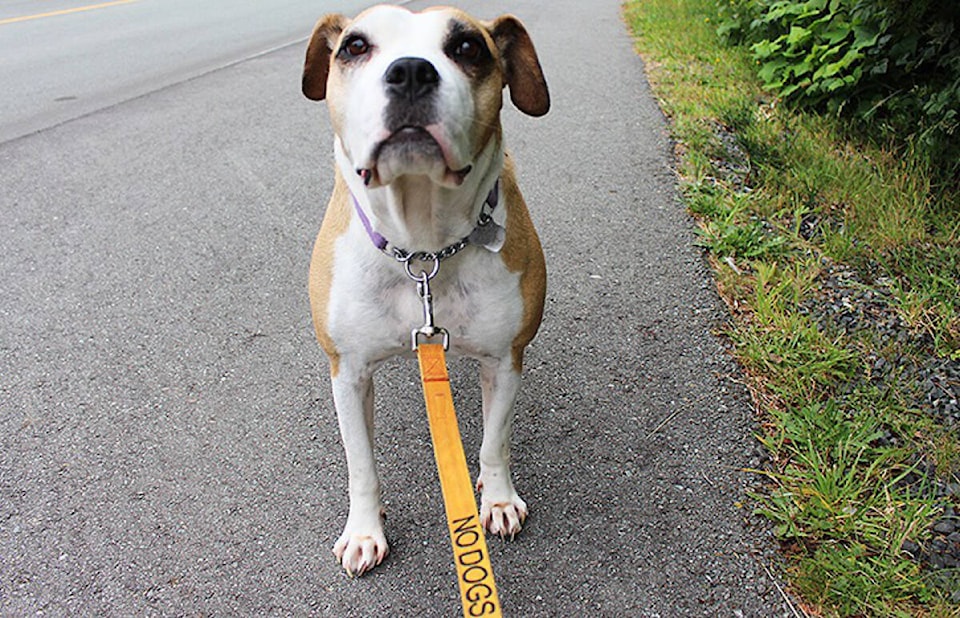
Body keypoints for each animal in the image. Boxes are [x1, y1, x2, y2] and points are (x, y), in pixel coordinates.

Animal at [304, 3, 552, 572]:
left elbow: (494, 441)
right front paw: (364, 530)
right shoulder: (348, 372)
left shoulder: (505, 359)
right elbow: (361, 465)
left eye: (467, 48)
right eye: (354, 46)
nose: (411, 71)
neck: (423, 249)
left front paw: (498, 499)